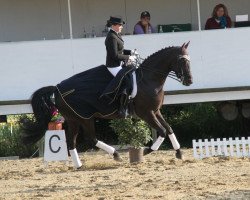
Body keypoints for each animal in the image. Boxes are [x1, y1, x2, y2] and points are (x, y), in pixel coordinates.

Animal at [22, 41, 193, 166]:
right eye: (182, 60)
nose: (189, 81)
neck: (149, 79)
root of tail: (57, 89)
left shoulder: (156, 111)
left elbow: (169, 129)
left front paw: (179, 152)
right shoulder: (146, 113)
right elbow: (162, 132)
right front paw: (146, 151)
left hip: (73, 119)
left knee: (72, 142)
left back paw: (79, 165)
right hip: (84, 118)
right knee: (90, 139)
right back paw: (115, 155)